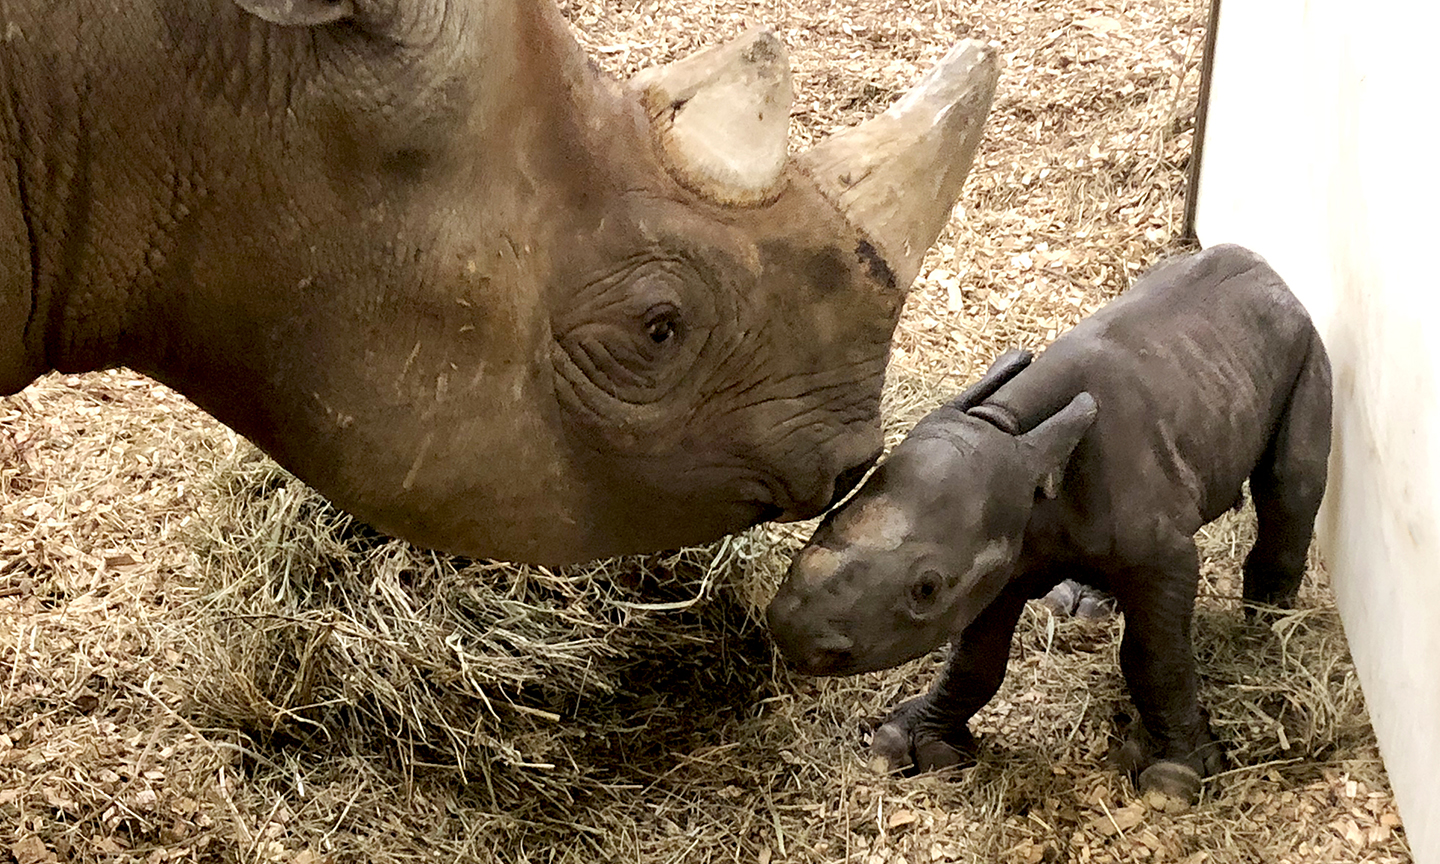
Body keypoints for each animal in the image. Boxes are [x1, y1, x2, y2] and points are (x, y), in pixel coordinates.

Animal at [766, 244, 1324, 800]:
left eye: (926, 589)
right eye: (827, 518)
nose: (790, 631)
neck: (1011, 432)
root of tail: (1270, 273)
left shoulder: (1163, 558)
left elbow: (1154, 658)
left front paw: (1175, 774)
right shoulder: (1001, 556)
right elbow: (976, 660)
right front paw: (910, 743)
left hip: (1304, 342)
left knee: (1290, 485)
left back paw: (1265, 634)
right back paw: (1088, 603)